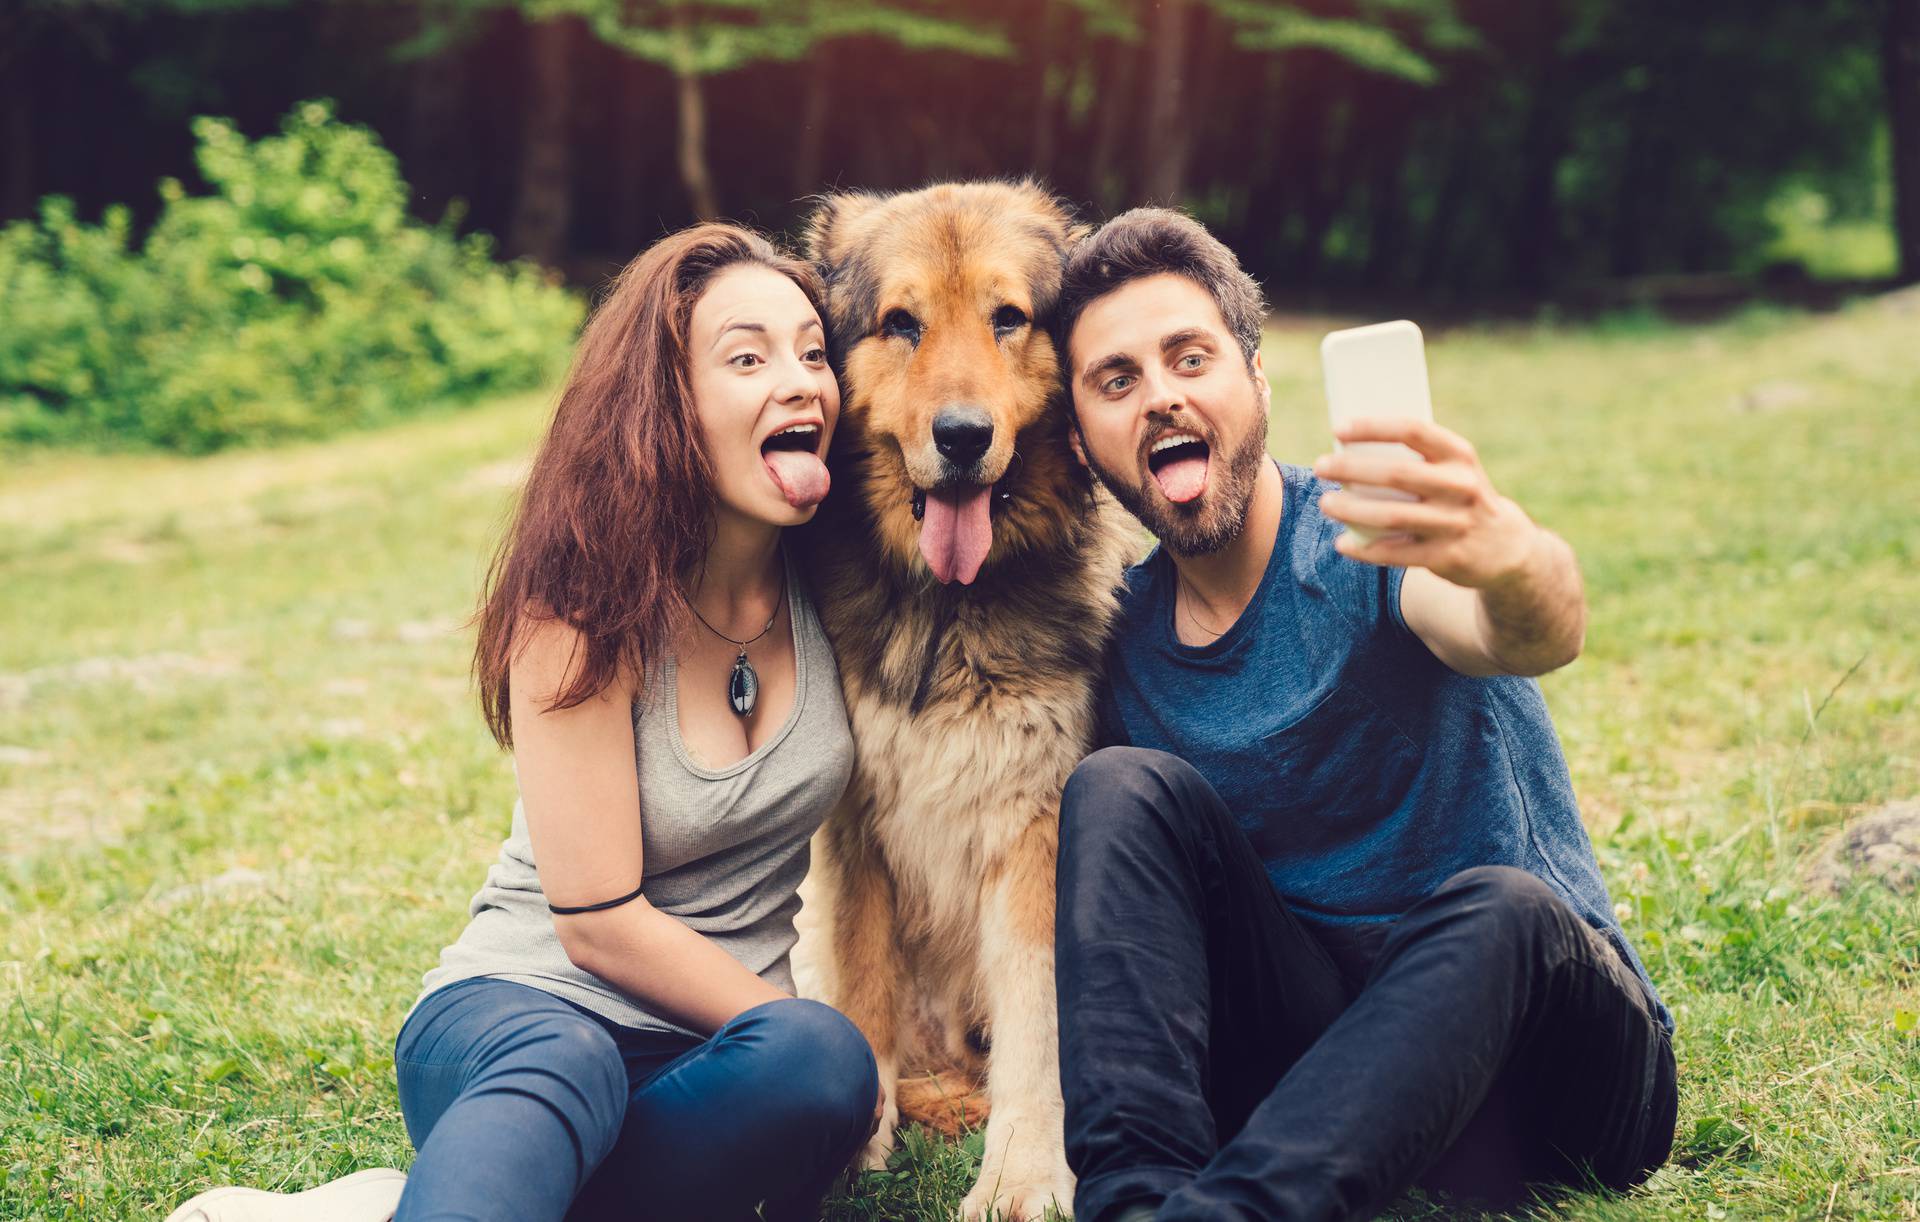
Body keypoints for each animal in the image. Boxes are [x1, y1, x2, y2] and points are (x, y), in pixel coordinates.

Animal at [787, 183, 1128, 1222]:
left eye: (1007, 318)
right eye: (903, 323)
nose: (964, 436)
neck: (948, 610)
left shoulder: (1034, 824)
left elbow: (1036, 1018)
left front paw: (1024, 1172)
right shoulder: (856, 831)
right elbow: (862, 990)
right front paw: (857, 1149)